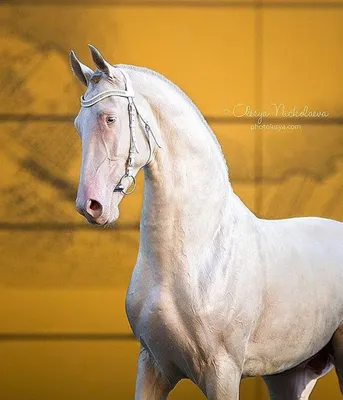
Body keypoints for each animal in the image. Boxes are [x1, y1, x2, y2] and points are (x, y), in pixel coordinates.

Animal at [69, 45, 343, 398]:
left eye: (110, 118)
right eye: (78, 124)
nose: (90, 205)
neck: (198, 256)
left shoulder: (222, 372)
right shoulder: (152, 366)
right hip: (290, 374)